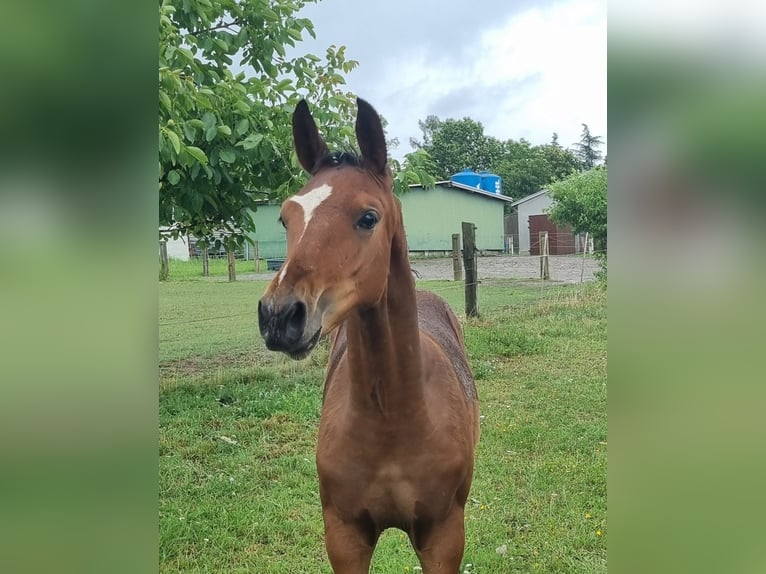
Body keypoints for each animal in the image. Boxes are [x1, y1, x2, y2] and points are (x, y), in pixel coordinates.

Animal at [258, 98, 479, 573]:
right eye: (285, 217)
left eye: (368, 217)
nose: (279, 316)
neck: (392, 417)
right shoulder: (345, 539)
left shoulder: (444, 538)